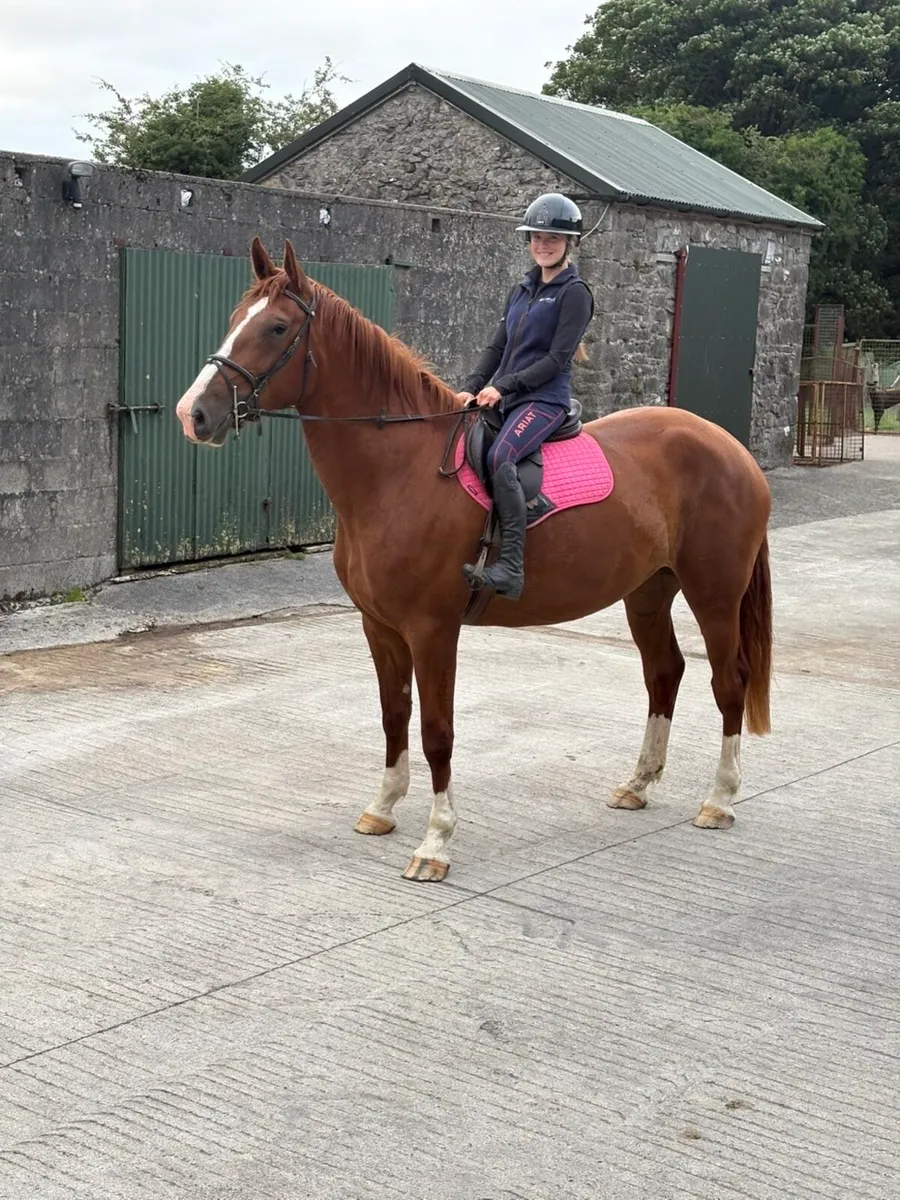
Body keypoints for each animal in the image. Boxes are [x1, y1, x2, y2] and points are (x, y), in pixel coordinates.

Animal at [175, 238, 772, 883]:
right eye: (237, 320)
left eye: (277, 327)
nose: (193, 414)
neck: (400, 471)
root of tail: (732, 449)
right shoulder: (380, 627)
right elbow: (393, 715)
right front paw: (383, 809)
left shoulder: (432, 630)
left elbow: (437, 731)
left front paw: (435, 843)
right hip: (647, 593)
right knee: (664, 672)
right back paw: (638, 785)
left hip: (714, 595)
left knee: (729, 680)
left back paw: (719, 799)